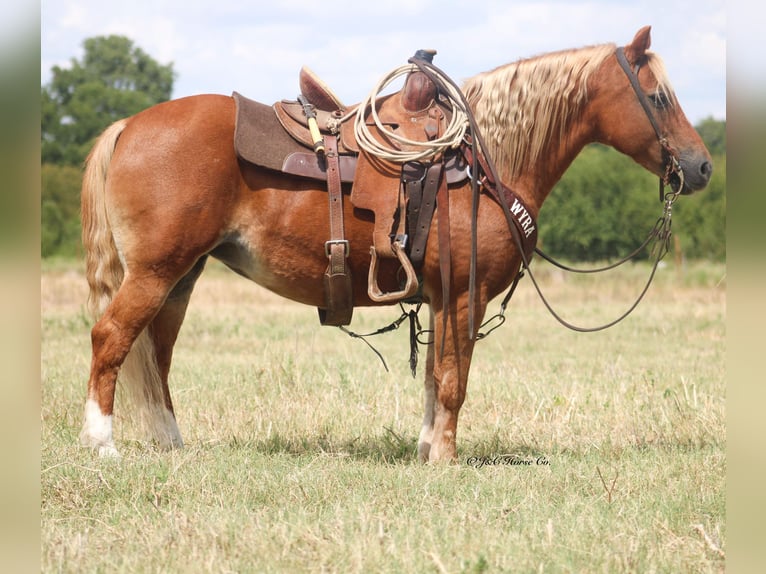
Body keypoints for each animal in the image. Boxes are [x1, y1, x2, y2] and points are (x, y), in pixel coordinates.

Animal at [79, 26, 712, 461]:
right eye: (658, 98)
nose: (702, 166)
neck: (484, 162)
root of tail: (128, 126)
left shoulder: (440, 297)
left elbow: (433, 377)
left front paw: (427, 449)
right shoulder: (464, 294)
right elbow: (454, 380)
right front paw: (447, 458)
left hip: (180, 279)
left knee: (156, 355)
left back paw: (170, 443)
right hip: (156, 273)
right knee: (111, 339)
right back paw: (102, 444)